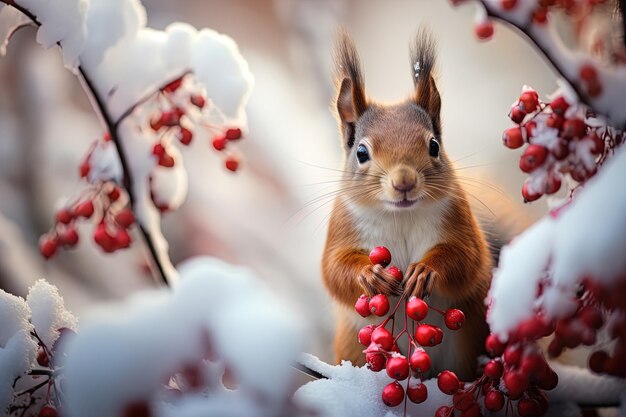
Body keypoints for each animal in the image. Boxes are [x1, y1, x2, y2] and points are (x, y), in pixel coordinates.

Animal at [322, 28, 492, 380]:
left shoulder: (459, 219)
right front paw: (370, 274)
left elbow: (468, 260)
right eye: (361, 152)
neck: (400, 216)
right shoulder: (342, 225)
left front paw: (426, 271)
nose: (404, 182)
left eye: (434, 145)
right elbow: (334, 269)